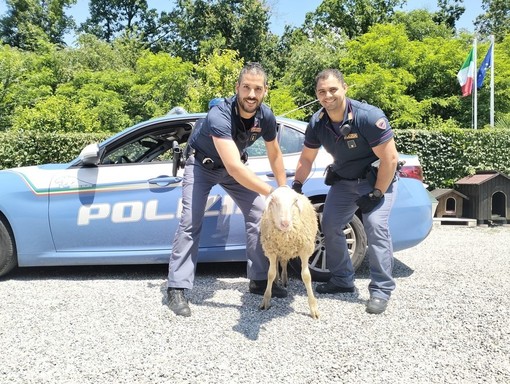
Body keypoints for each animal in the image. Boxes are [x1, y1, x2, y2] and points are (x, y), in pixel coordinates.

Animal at [258, 185, 318, 318]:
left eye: (294, 201)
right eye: (273, 201)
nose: (285, 223)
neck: (285, 235)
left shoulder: (305, 250)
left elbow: (306, 276)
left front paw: (313, 308)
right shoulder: (271, 251)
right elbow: (270, 274)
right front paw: (266, 300)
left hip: (286, 251)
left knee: (284, 263)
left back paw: (284, 280)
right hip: (278, 250)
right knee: (277, 265)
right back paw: (278, 280)